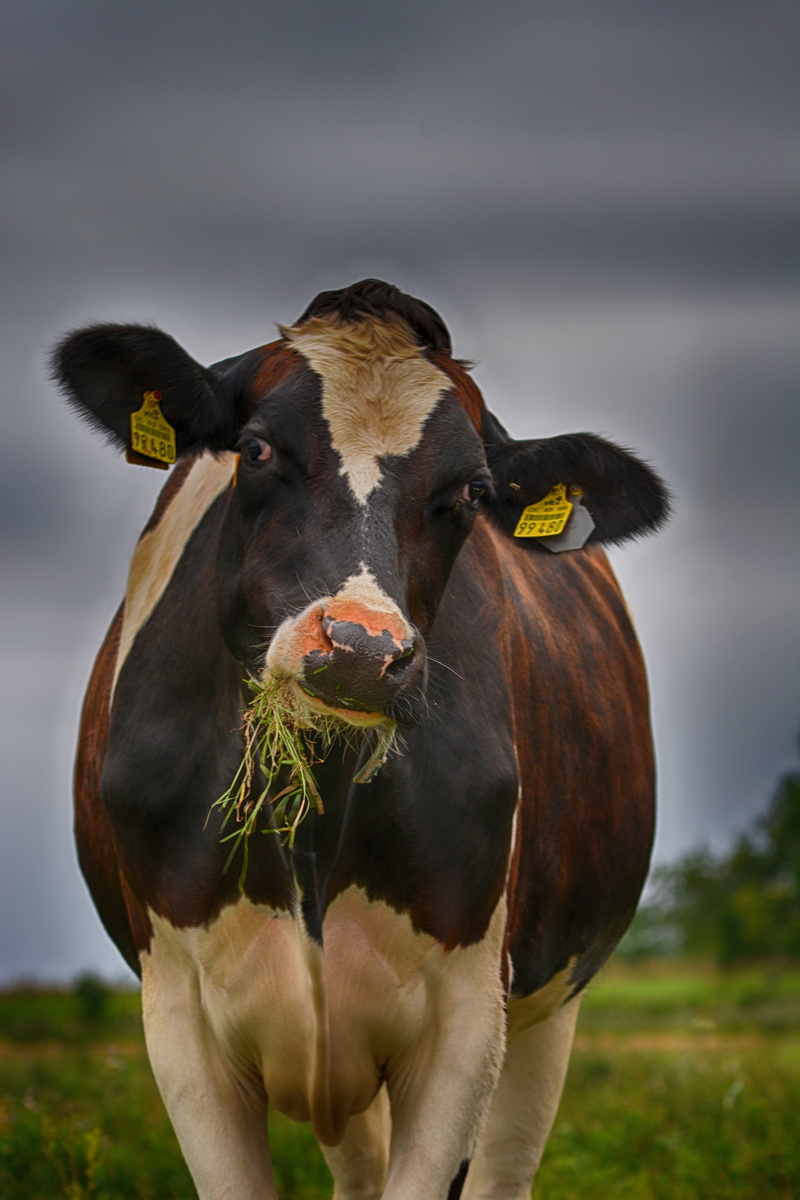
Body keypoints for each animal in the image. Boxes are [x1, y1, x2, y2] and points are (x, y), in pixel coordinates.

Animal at [53, 279, 669, 1200]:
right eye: (257, 448)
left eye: (473, 491)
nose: (361, 650)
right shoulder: (178, 1014)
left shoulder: (469, 1018)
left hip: (549, 1006)